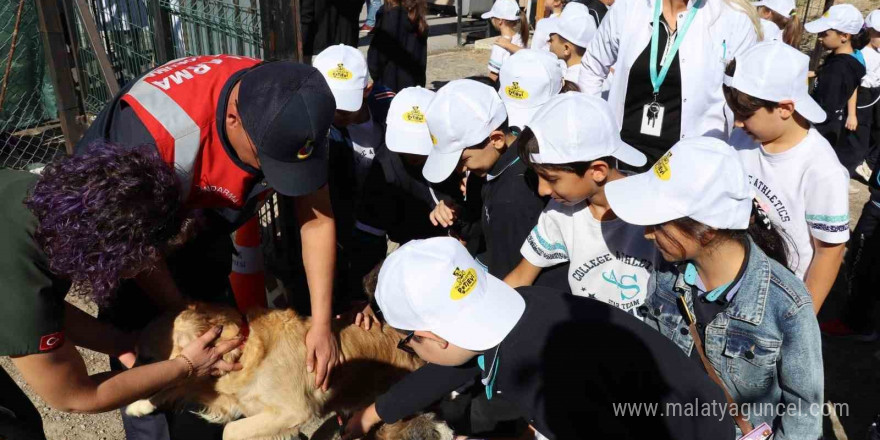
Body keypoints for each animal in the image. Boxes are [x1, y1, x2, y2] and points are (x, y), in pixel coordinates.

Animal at [129, 302, 454, 440]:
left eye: (152, 352)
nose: (131, 365)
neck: (247, 350)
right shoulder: (220, 393)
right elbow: (176, 386)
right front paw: (139, 404)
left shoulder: (293, 411)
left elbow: (230, 431)